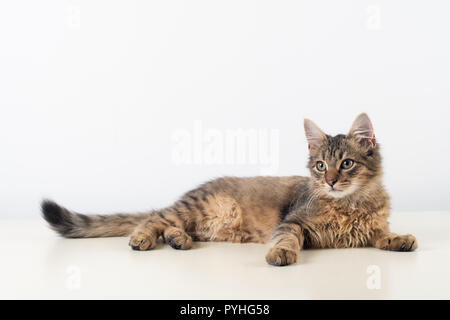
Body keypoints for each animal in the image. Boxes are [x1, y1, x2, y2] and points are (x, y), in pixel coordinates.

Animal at [42, 112, 418, 264]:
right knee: (153, 218)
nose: (330, 181)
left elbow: (382, 233)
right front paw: (281, 253)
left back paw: (178, 240)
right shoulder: (295, 223)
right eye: (320, 166)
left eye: (347, 164)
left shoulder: (369, 227)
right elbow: (287, 238)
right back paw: (144, 238)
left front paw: (400, 239)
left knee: (171, 226)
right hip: (199, 207)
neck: (350, 204)